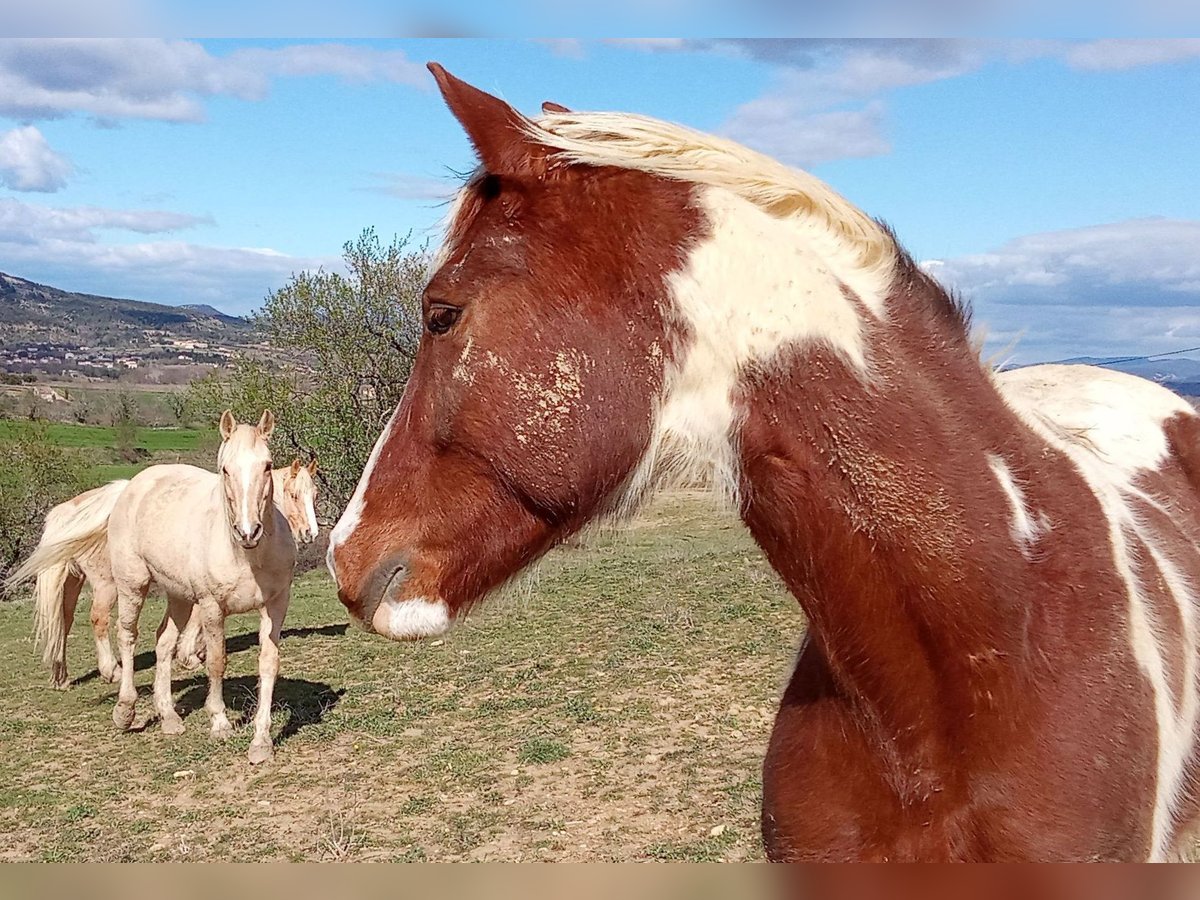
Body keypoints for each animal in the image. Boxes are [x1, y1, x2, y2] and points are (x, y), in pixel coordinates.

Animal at [9, 460, 319, 686]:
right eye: (294, 495)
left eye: (314, 495)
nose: (310, 533)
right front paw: (190, 654)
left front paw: (193, 650)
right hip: (109, 584)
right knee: (99, 619)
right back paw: (112, 670)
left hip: (73, 583)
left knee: (63, 621)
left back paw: (61, 675)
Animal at [16, 412, 295, 763]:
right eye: (225, 469)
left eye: (267, 465)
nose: (248, 531)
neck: (247, 556)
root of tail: (130, 486)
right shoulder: (211, 607)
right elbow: (217, 661)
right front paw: (219, 723)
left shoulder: (276, 605)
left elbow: (268, 664)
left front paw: (261, 741)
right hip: (131, 585)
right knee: (127, 636)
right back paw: (125, 708)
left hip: (178, 597)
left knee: (163, 641)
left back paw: (169, 716)